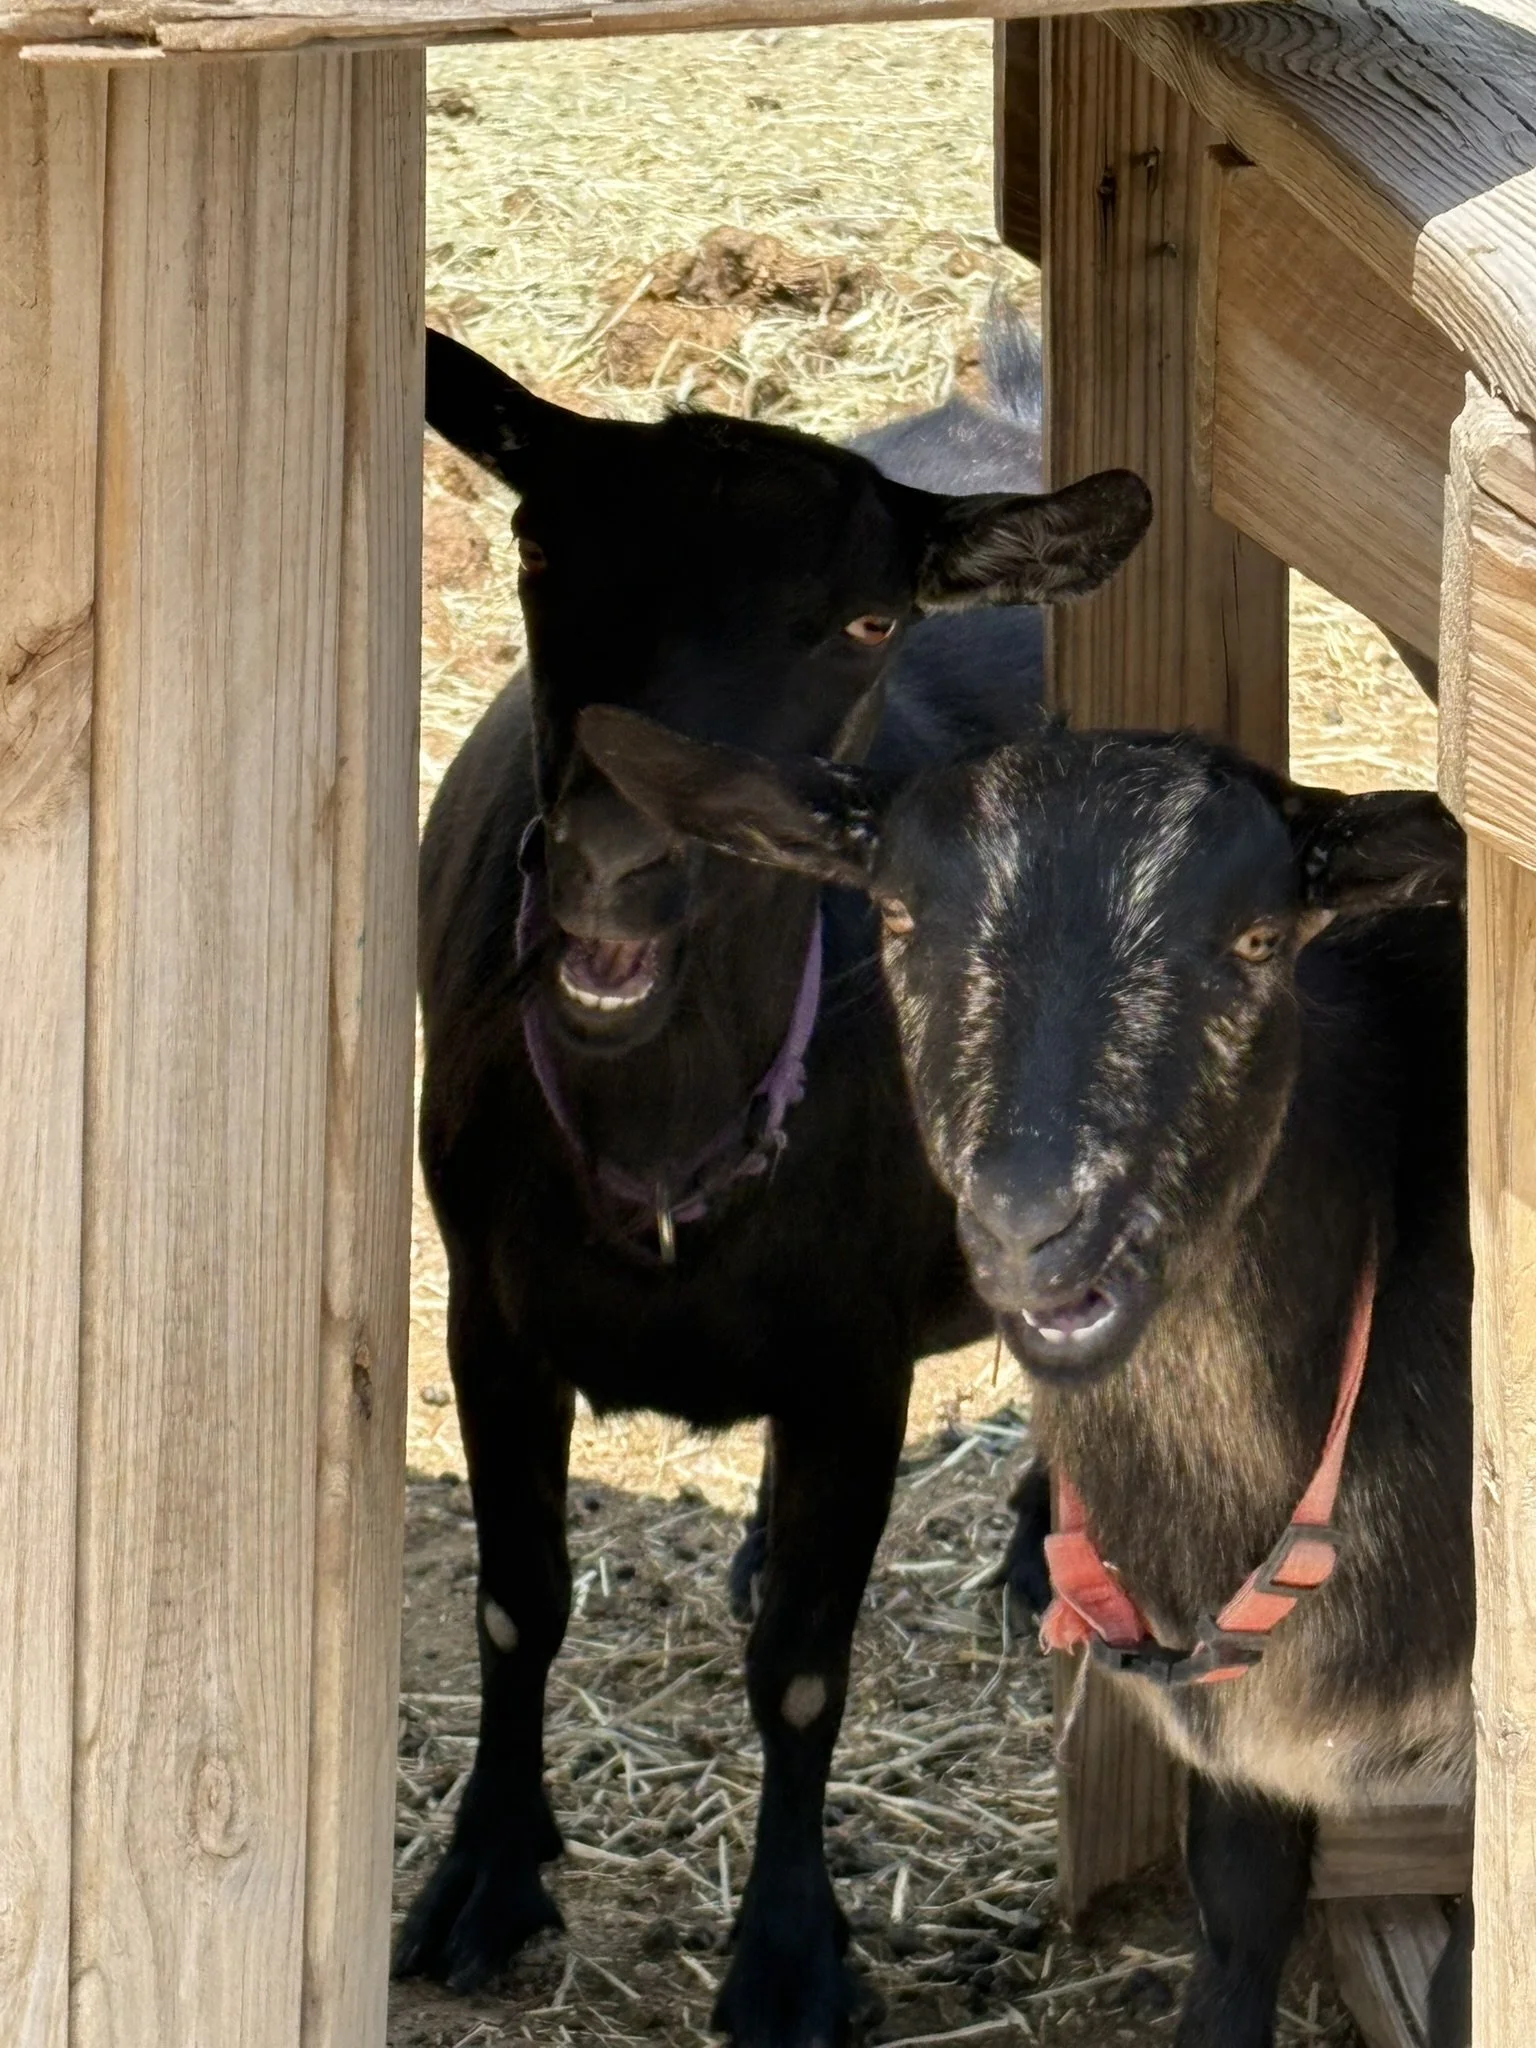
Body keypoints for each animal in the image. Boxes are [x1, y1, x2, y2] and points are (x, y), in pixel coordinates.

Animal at [399, 317, 1150, 2048]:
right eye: (540, 547)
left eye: (867, 621)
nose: (619, 862)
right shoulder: (489, 1312)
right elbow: (518, 1598)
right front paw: (487, 1875)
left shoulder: (852, 1365)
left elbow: (807, 1670)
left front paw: (792, 1958)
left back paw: (1039, 1541)